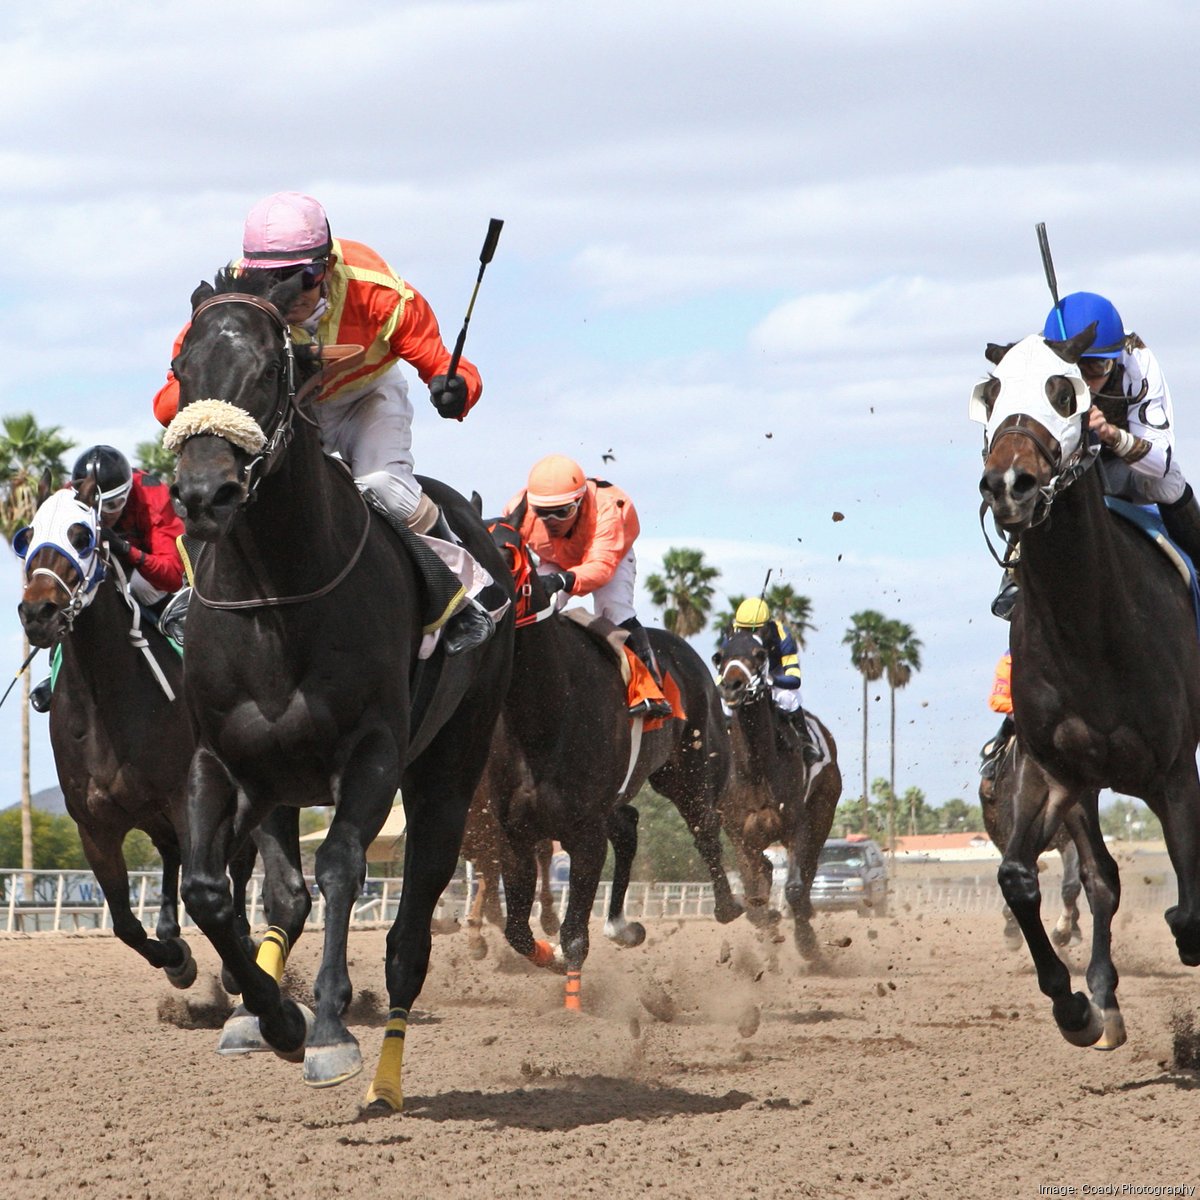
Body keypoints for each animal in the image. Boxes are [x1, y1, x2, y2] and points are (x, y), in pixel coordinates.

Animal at [12, 472, 258, 988]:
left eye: (82, 536)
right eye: (27, 537)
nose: (38, 613)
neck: (105, 703)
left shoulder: (187, 802)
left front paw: (233, 958)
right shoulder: (94, 825)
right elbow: (125, 922)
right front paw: (176, 957)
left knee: (242, 864)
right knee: (170, 857)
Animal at [165, 267, 511, 1108]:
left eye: (266, 371)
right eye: (182, 370)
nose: (204, 494)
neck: (275, 596)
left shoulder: (373, 749)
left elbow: (341, 870)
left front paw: (325, 1031)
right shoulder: (223, 759)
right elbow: (211, 889)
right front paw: (274, 1019)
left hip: (448, 773)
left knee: (409, 938)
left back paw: (384, 1082)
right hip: (278, 784)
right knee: (282, 894)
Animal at [477, 511, 739, 1008]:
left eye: (507, 549)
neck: (545, 710)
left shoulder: (584, 833)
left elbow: (575, 933)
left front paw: (575, 1008)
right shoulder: (516, 832)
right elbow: (517, 931)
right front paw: (551, 955)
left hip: (689, 771)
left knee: (705, 829)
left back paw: (730, 905)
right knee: (630, 824)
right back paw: (622, 925)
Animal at [715, 628, 840, 955]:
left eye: (760, 655)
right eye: (719, 656)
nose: (732, 687)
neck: (756, 769)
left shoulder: (797, 825)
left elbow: (795, 888)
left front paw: (807, 945)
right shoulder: (740, 834)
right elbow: (754, 898)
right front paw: (768, 930)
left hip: (824, 811)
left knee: (808, 871)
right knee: (766, 871)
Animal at [974, 328, 1200, 1051]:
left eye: (1063, 391)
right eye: (991, 393)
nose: (1008, 483)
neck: (1091, 627)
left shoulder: (1174, 771)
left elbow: (1188, 902)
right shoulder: (1058, 772)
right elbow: (1028, 878)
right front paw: (1078, 1005)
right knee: (1094, 878)